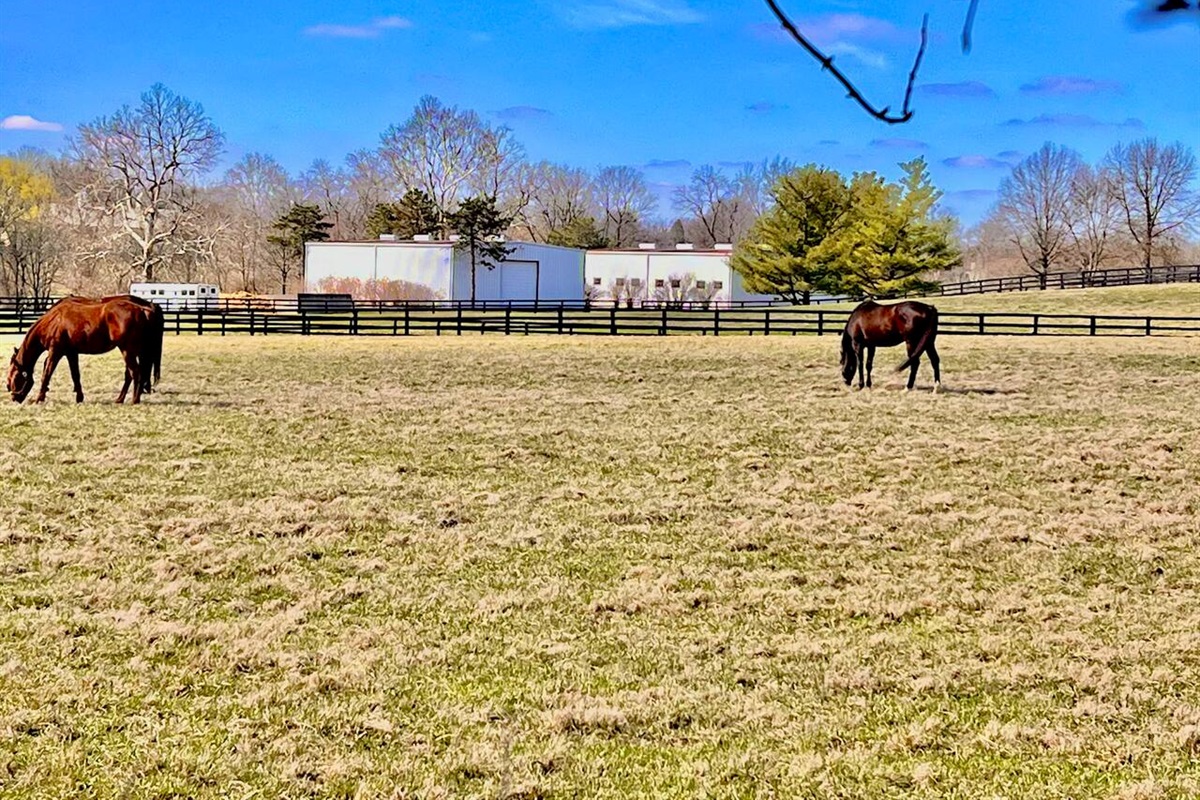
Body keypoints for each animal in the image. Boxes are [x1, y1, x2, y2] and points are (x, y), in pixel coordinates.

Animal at [8, 295, 162, 404]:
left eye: (14, 377)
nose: (14, 398)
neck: (54, 320)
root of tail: (143, 309)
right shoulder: (71, 353)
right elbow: (75, 375)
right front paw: (79, 397)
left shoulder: (55, 352)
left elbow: (47, 374)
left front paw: (39, 398)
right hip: (132, 351)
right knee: (131, 373)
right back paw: (120, 399)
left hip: (127, 350)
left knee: (135, 372)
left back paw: (134, 400)